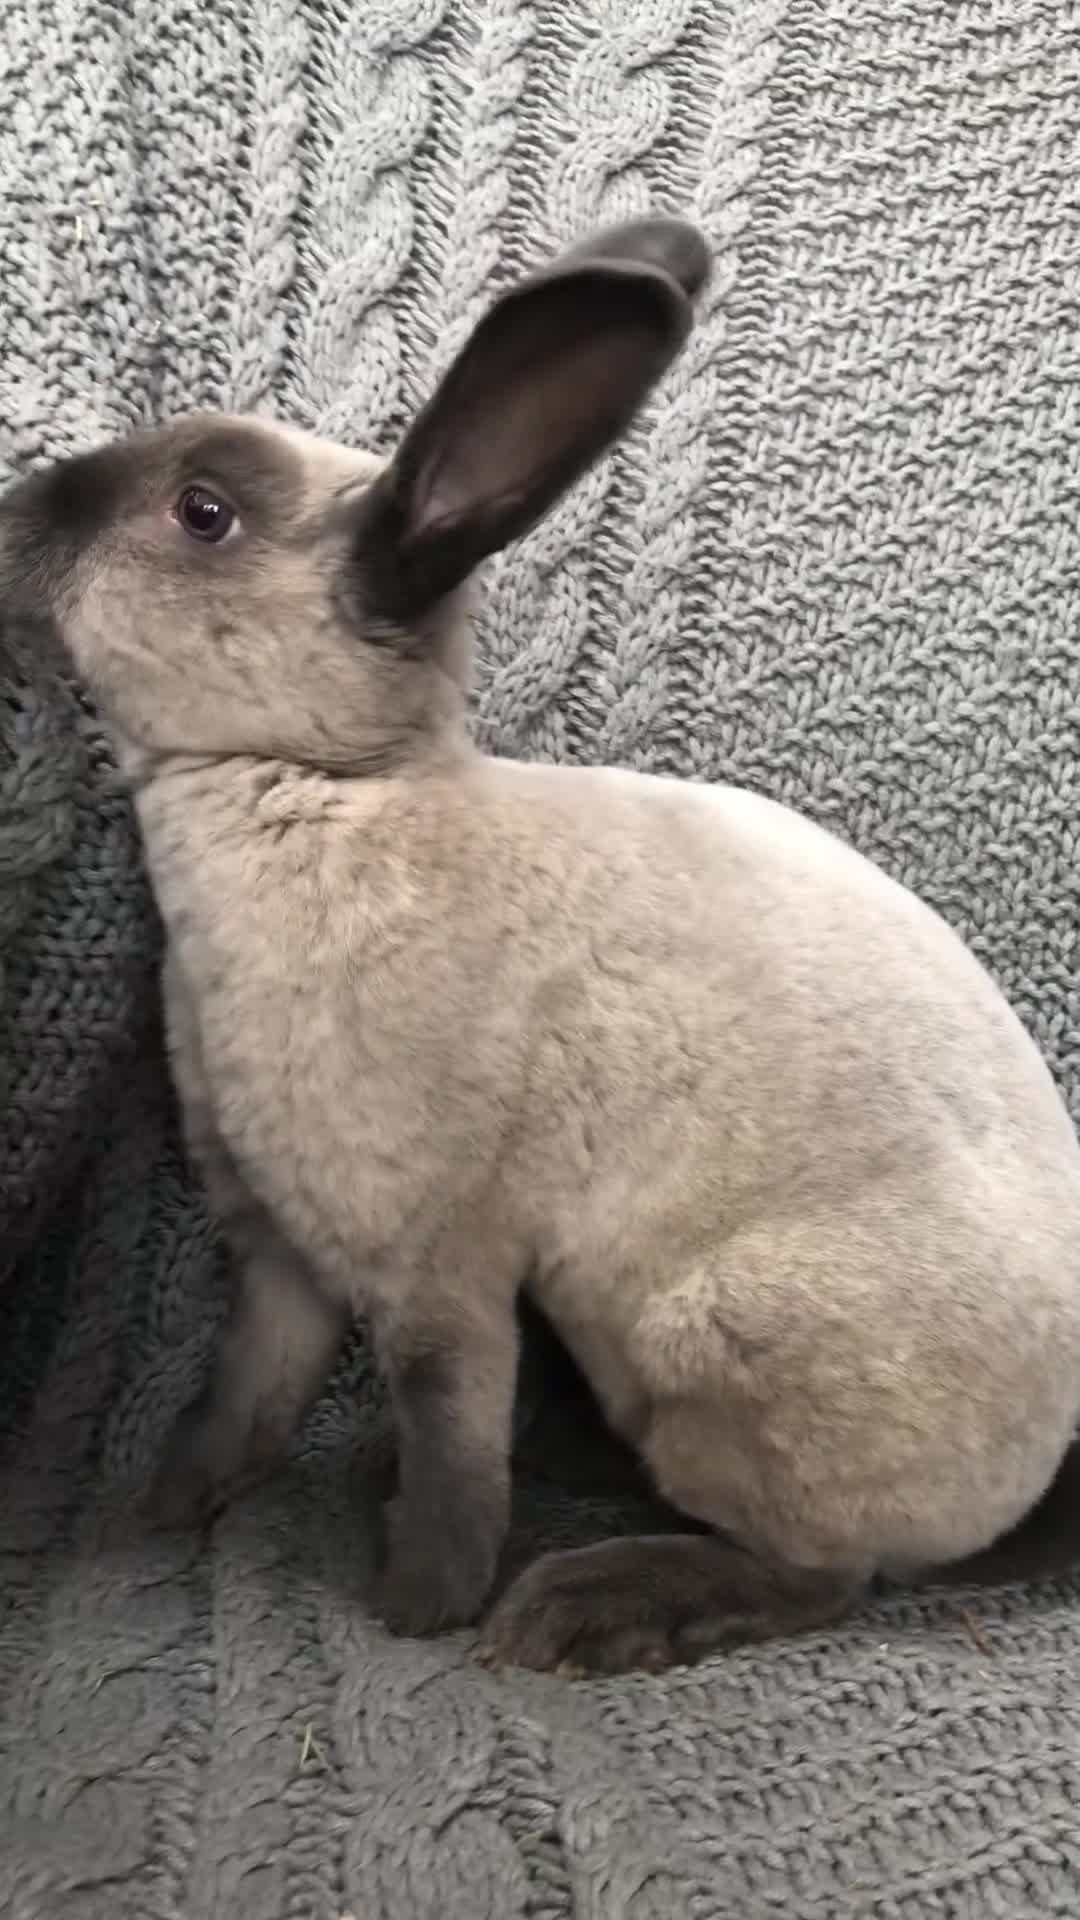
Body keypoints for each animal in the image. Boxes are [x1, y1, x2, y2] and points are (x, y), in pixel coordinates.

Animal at [5, 213, 1080, 1678]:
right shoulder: (280, 1251)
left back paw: (587, 1608)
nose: (19, 506)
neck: (325, 791)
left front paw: (420, 1608)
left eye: (203, 512)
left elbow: (451, 1438)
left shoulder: (437, 1263)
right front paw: (148, 1520)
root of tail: (1041, 1462)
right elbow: (238, 1405)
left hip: (713, 1340)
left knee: (827, 1575)